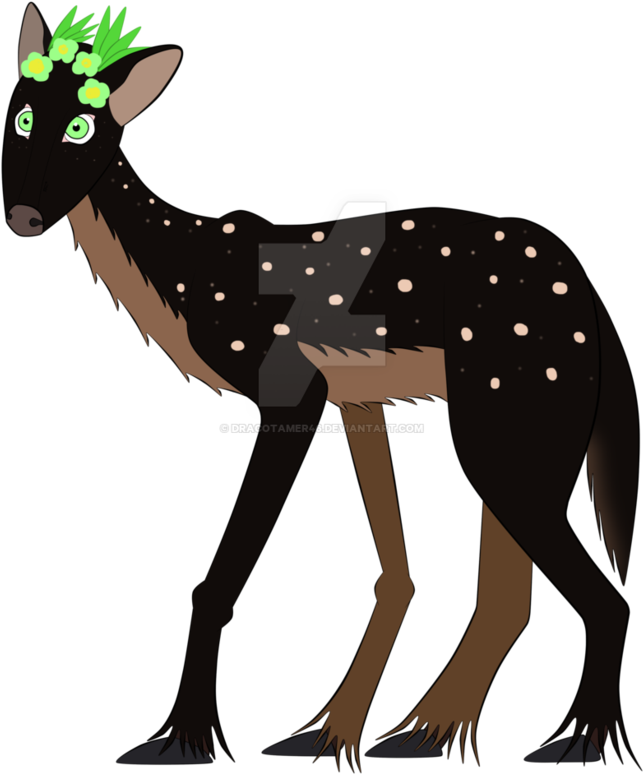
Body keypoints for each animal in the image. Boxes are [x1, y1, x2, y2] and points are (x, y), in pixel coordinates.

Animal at [5, 3, 639, 770]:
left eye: (82, 126)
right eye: (21, 117)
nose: (22, 217)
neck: (186, 282)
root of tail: (589, 296)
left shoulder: (290, 387)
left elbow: (218, 581)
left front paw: (182, 740)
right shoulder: (357, 398)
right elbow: (396, 572)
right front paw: (330, 736)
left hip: (512, 415)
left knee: (600, 596)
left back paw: (577, 742)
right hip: (509, 423)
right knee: (508, 594)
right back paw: (423, 737)